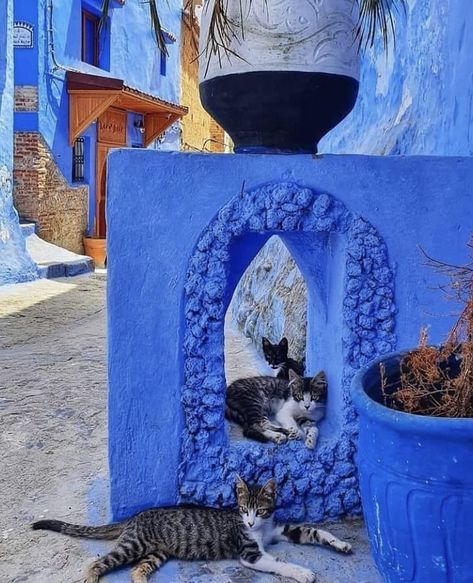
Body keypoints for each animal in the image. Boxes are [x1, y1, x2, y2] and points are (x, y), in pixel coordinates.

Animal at [32, 476, 350, 580]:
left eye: (260, 510)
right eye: (243, 509)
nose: (249, 521)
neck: (259, 529)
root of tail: (136, 516)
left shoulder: (278, 530)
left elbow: (314, 531)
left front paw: (340, 544)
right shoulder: (250, 554)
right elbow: (279, 563)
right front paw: (303, 572)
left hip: (157, 552)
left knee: (137, 570)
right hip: (133, 545)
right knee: (97, 563)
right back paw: (91, 578)